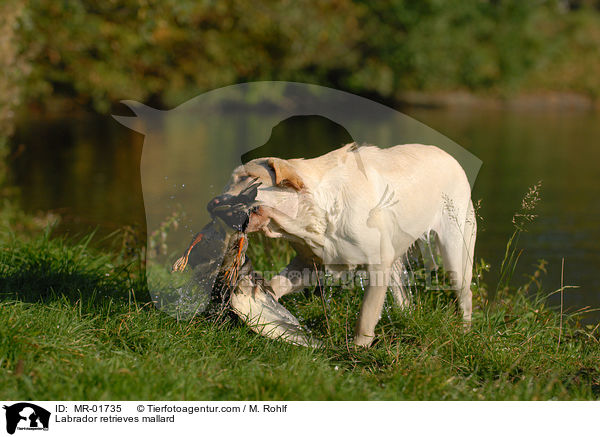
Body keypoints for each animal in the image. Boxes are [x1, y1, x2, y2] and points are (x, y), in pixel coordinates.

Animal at [209, 145, 476, 346]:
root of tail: (451, 157)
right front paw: (262, 297)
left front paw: (359, 347)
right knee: (403, 296)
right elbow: (279, 282)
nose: (212, 203)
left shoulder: (378, 263)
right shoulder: (310, 261)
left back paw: (464, 331)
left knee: (465, 293)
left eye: (247, 178)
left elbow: (366, 314)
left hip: (455, 251)